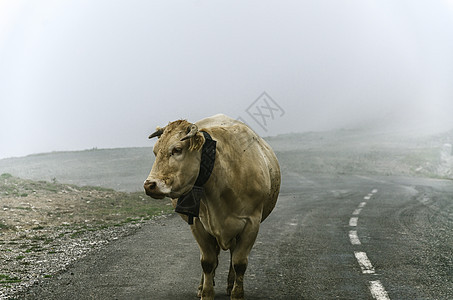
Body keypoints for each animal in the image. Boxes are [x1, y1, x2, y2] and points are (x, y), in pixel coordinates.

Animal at [145, 113, 278, 298]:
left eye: (177, 149)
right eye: (155, 152)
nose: (149, 185)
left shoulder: (252, 223)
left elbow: (239, 262)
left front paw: (237, 294)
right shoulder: (198, 223)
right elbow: (207, 261)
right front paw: (206, 293)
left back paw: (230, 284)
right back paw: (202, 286)